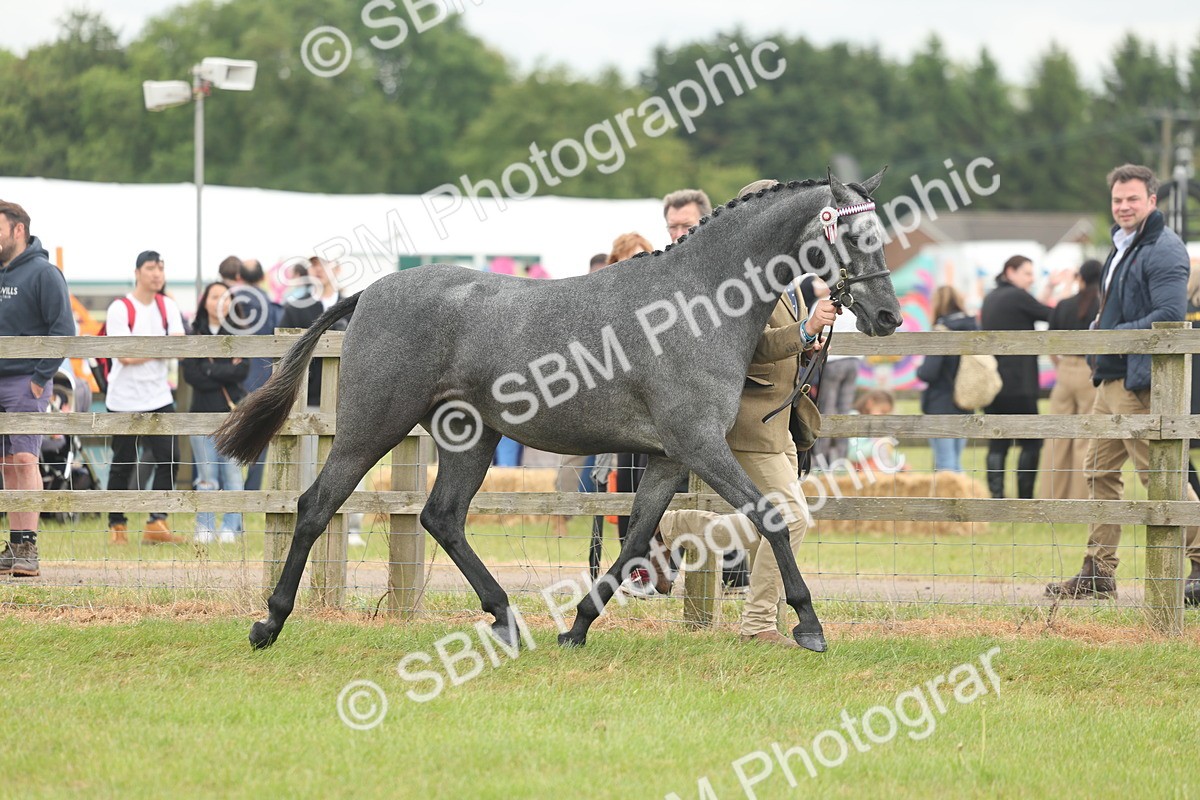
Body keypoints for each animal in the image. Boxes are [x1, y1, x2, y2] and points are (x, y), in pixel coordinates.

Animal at [214, 170, 902, 653]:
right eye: (854, 236)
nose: (888, 316)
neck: (697, 303)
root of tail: (370, 292)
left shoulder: (667, 459)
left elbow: (636, 541)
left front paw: (577, 626)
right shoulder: (701, 445)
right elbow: (772, 517)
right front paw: (809, 623)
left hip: (471, 438)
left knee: (441, 517)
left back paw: (506, 619)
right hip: (372, 426)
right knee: (317, 505)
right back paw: (268, 622)